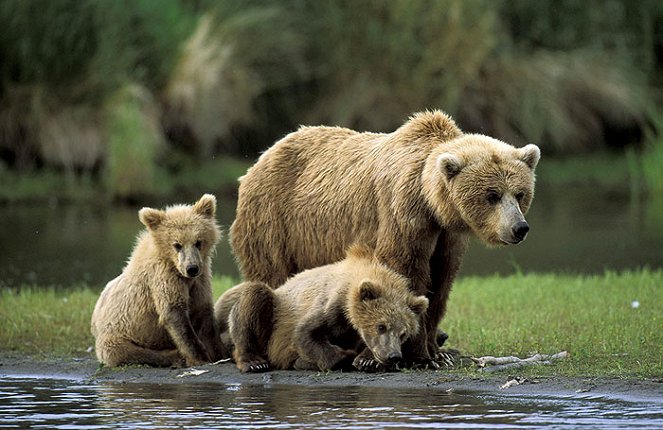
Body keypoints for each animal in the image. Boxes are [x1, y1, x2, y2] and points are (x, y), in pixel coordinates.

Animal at [91, 195, 227, 366]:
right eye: (177, 244)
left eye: (198, 242)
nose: (192, 268)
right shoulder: (163, 276)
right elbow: (174, 312)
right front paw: (200, 357)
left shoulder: (201, 279)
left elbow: (205, 312)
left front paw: (221, 353)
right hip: (116, 336)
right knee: (125, 352)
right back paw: (174, 356)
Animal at [214, 245, 430, 372]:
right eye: (381, 326)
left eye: (403, 334)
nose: (393, 356)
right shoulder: (331, 305)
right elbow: (306, 334)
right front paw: (345, 357)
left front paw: (367, 359)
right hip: (271, 315)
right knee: (254, 297)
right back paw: (254, 362)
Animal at [231, 110, 544, 366]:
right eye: (492, 195)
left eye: (519, 193)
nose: (519, 227)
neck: (431, 200)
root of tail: (262, 156)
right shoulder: (402, 212)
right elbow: (405, 270)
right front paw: (414, 355)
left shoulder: (447, 235)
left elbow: (441, 280)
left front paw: (437, 352)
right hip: (275, 221)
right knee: (272, 274)